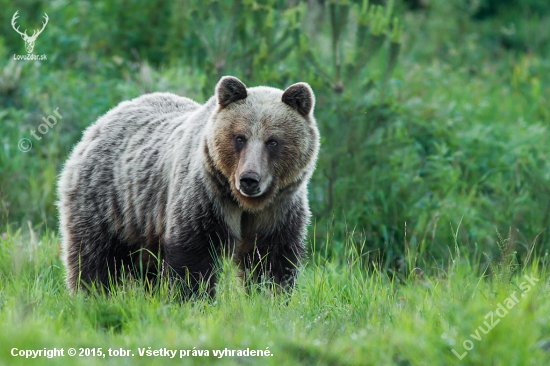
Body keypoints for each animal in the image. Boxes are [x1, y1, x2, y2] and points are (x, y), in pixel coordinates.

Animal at [57, 76, 320, 296]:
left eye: (272, 141)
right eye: (239, 138)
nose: (249, 179)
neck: (245, 203)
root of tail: (99, 123)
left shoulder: (278, 209)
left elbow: (270, 259)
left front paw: (269, 296)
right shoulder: (206, 196)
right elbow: (194, 252)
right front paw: (195, 299)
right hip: (109, 200)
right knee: (94, 256)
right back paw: (93, 295)